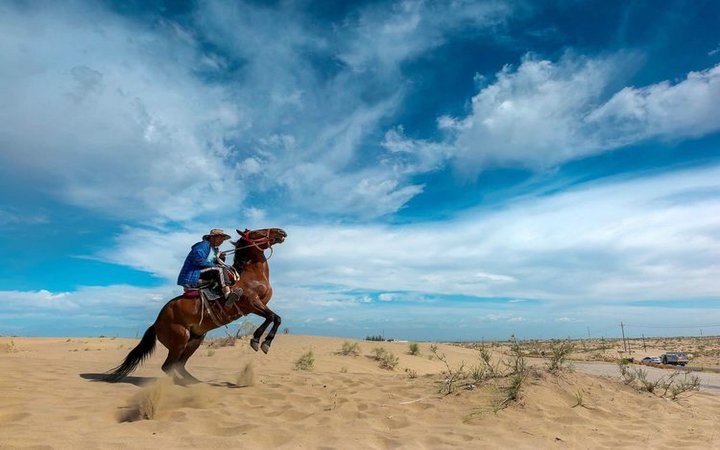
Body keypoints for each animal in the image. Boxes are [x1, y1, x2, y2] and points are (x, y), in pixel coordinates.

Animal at [102, 229, 286, 384]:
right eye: (257, 232)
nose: (281, 232)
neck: (250, 276)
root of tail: (156, 323)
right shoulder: (252, 304)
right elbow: (273, 317)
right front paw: (259, 341)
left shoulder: (258, 306)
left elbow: (275, 318)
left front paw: (262, 342)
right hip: (180, 341)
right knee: (168, 366)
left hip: (195, 340)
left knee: (179, 365)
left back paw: (195, 383)